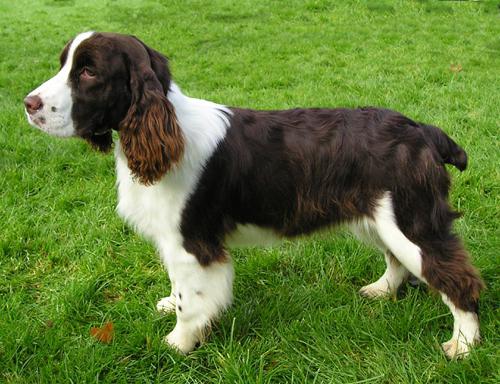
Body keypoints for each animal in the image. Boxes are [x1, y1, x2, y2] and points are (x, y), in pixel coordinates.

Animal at [24, 31, 484, 358]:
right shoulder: (174, 241)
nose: (28, 104)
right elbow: (176, 287)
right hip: (380, 215)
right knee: (398, 261)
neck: (165, 130)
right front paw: (168, 305)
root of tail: (422, 131)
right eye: (64, 64)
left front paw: (178, 343)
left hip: (410, 219)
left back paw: (462, 345)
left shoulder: (193, 242)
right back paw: (381, 290)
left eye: (88, 72)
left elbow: (191, 301)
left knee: (457, 277)